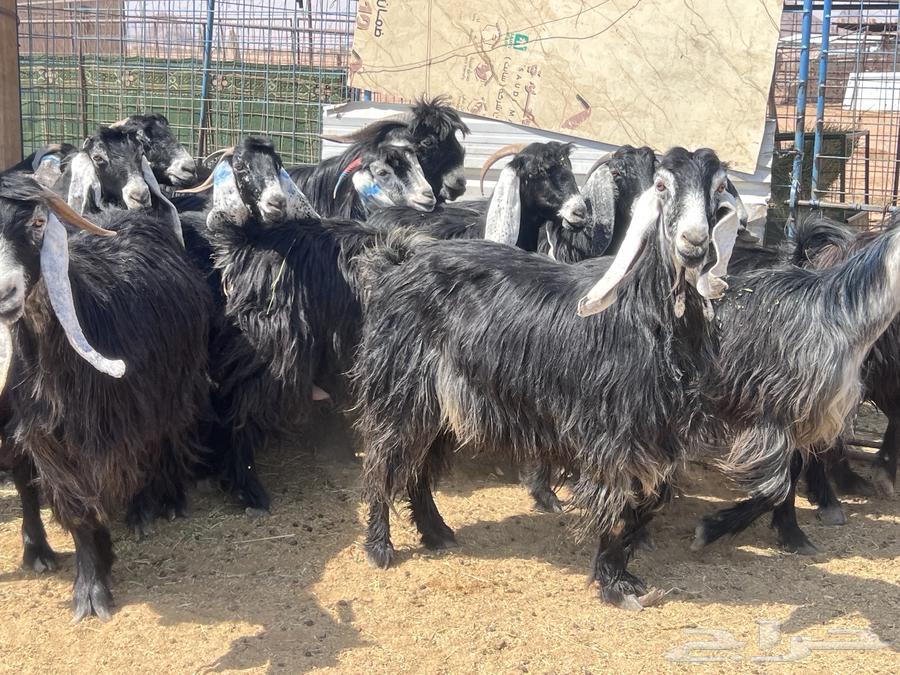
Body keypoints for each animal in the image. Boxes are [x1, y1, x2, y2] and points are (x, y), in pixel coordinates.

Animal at [0, 173, 211, 621]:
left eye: (38, 223)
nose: (5, 293)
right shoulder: (45, 438)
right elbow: (76, 508)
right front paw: (91, 584)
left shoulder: (114, 429)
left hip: (172, 387)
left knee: (161, 442)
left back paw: (153, 506)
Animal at [351, 147, 742, 610]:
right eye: (662, 186)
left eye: (719, 187)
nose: (694, 243)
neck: (643, 309)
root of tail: (393, 268)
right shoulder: (614, 434)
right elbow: (616, 503)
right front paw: (615, 584)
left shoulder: (662, 433)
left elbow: (649, 500)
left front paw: (625, 569)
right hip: (400, 389)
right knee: (384, 461)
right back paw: (379, 546)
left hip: (442, 401)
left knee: (419, 467)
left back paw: (436, 532)